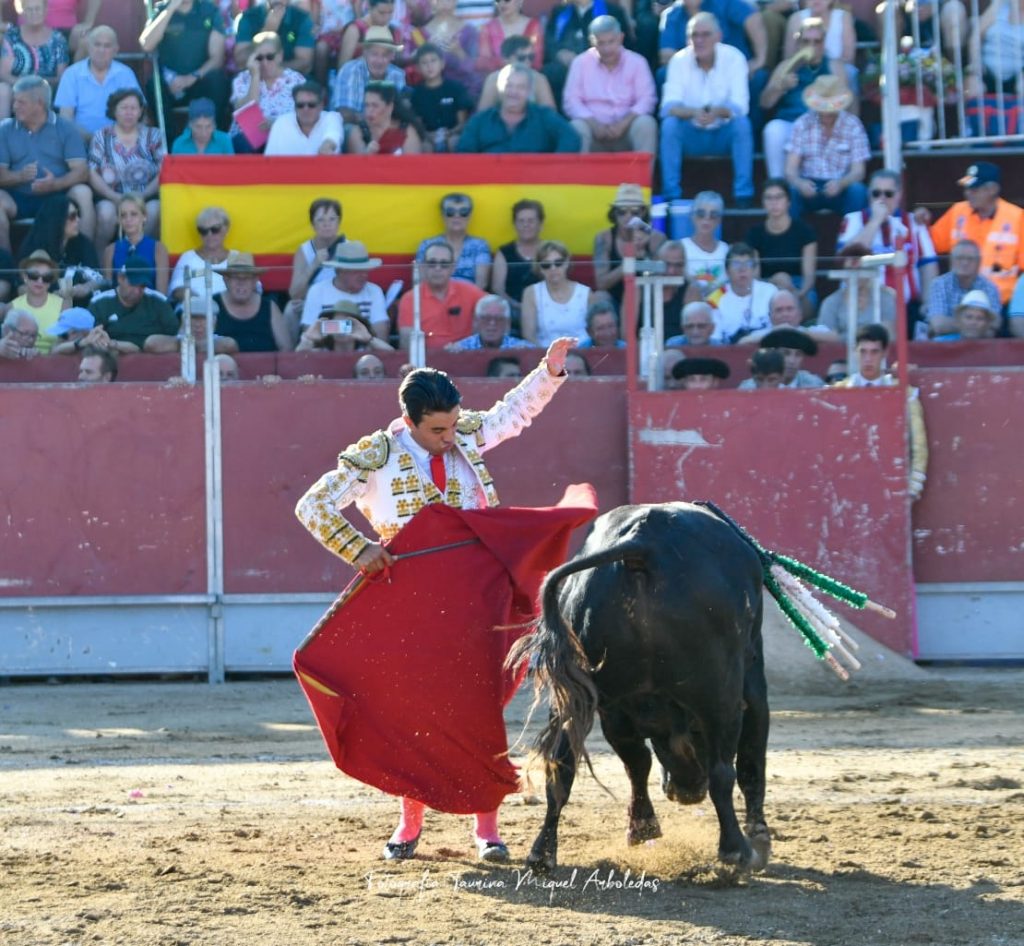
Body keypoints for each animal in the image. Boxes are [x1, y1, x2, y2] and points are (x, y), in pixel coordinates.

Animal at [507, 501, 770, 872]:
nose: (684, 792)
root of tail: (641, 544)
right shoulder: (752, 681)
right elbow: (750, 761)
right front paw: (760, 839)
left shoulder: (616, 710)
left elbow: (637, 761)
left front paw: (642, 827)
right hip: (721, 694)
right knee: (723, 771)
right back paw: (737, 851)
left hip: (572, 699)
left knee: (561, 767)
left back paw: (542, 854)